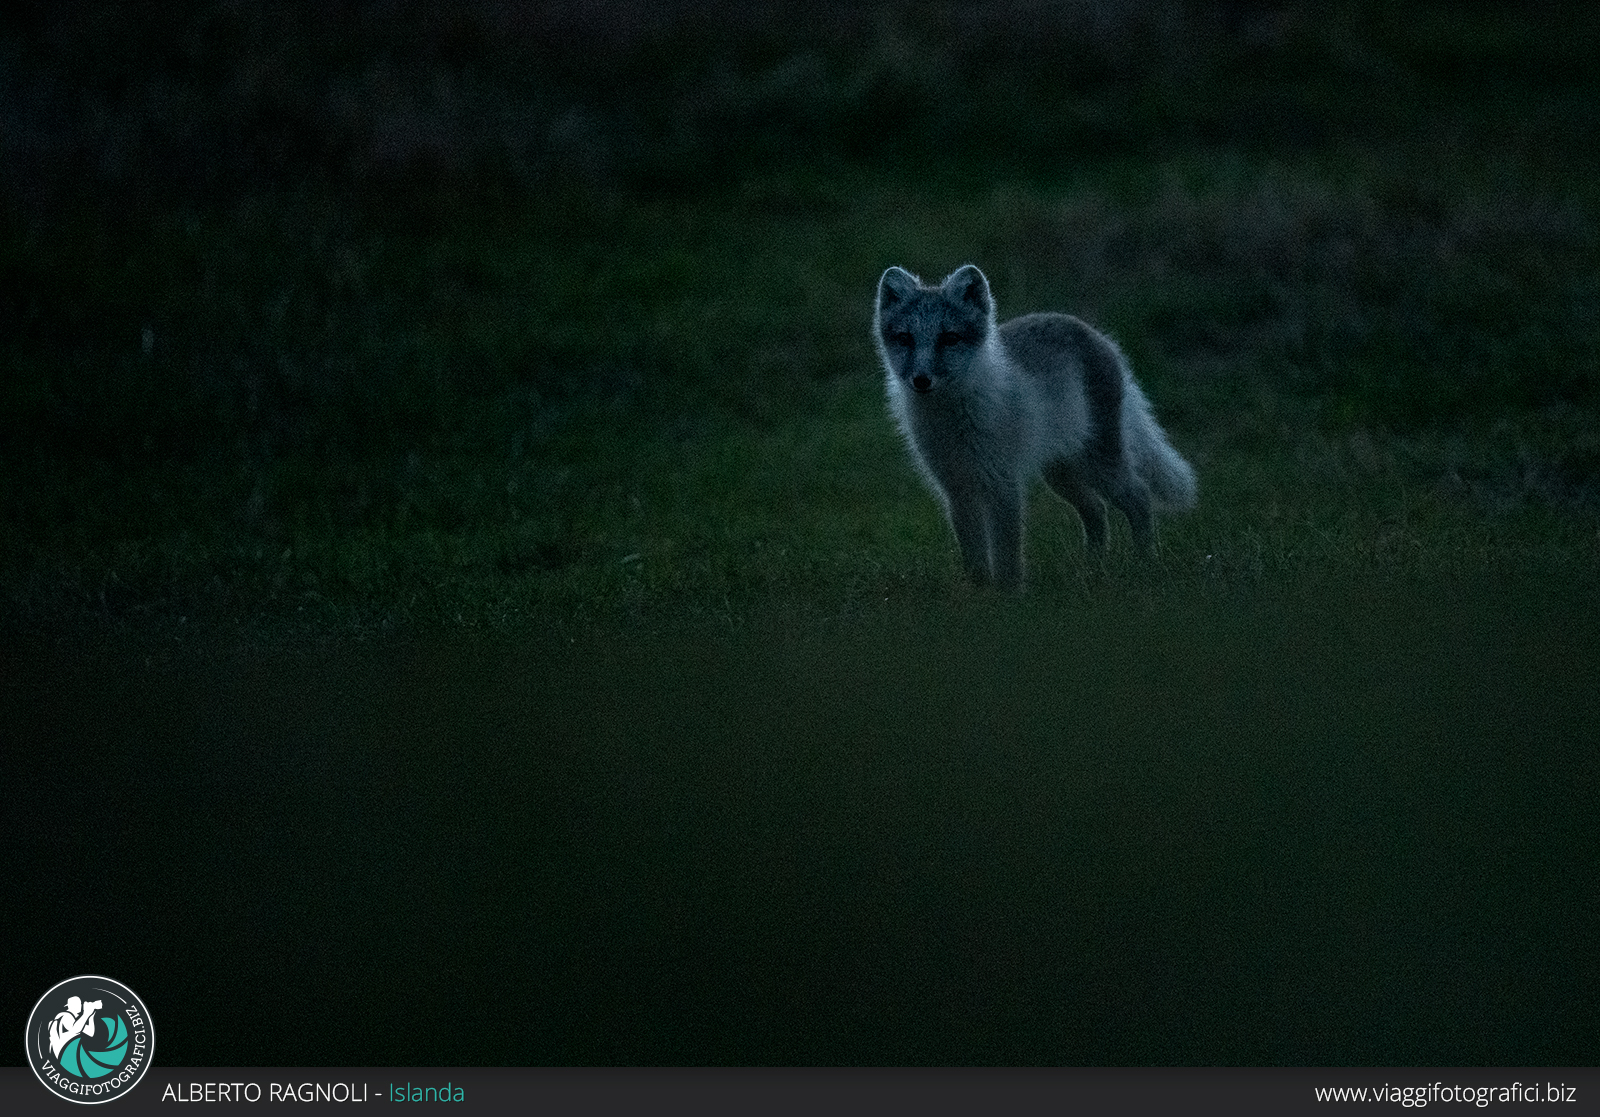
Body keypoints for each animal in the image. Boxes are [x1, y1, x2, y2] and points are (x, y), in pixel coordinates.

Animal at [870, 264, 1196, 588]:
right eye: (905, 338)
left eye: (949, 338)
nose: (921, 380)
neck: (952, 419)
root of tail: (1097, 335)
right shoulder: (957, 487)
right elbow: (973, 552)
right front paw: (979, 592)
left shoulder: (1002, 482)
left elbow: (1006, 549)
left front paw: (1009, 593)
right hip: (1060, 473)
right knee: (1096, 510)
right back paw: (1091, 568)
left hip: (1099, 463)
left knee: (1139, 497)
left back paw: (1145, 562)